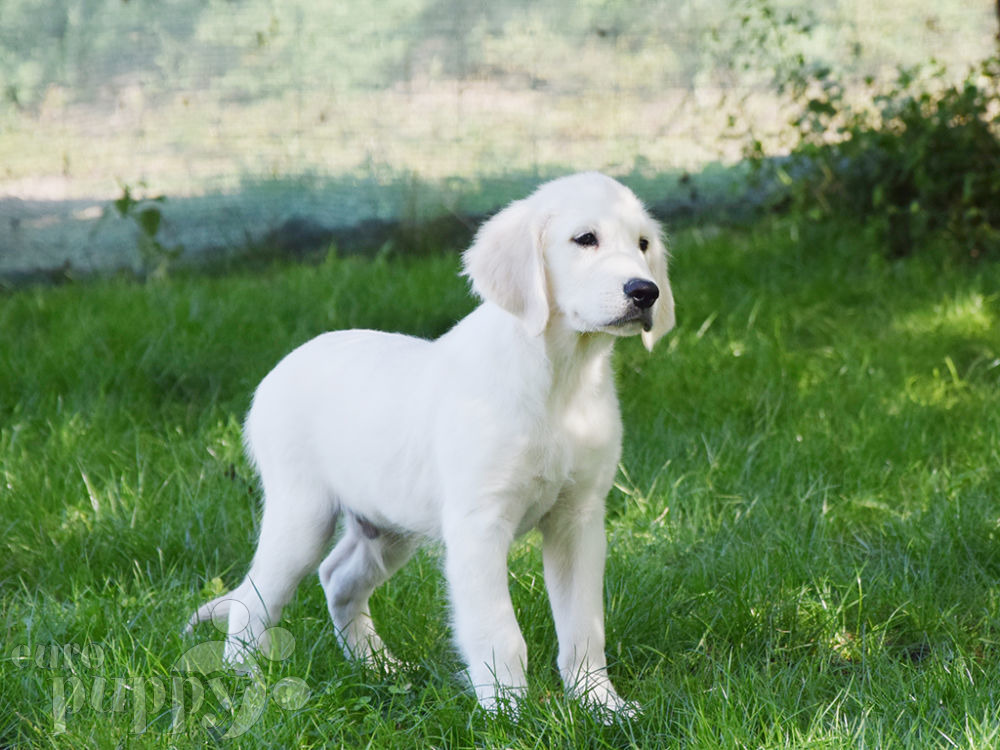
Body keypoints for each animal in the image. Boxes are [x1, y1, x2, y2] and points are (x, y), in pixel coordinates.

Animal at [188, 170, 672, 716]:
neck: (559, 381)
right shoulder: (478, 525)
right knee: (252, 601)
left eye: (643, 245)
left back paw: (377, 666)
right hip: (302, 515)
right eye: (585, 238)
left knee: (338, 578)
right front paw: (508, 714)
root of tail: (276, 373)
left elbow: (584, 625)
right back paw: (242, 685)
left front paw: (600, 703)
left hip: (388, 527)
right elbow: (499, 632)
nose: (646, 292)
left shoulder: (579, 519)